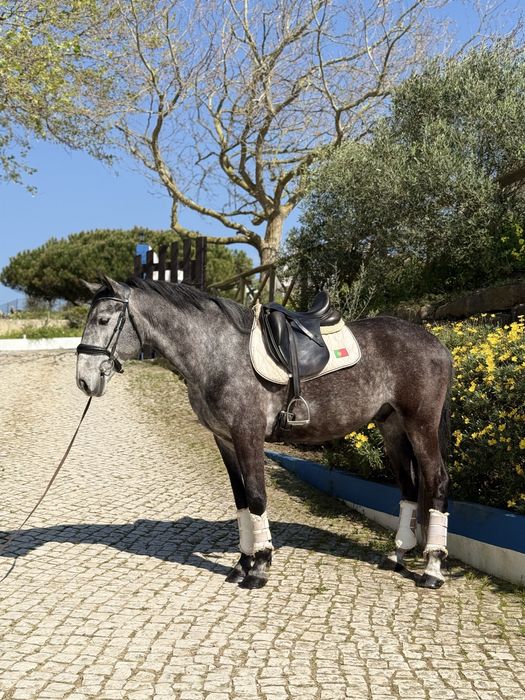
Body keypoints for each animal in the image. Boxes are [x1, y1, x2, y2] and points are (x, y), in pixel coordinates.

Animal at [76, 276, 453, 590]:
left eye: (103, 320)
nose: (84, 380)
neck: (218, 352)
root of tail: (437, 344)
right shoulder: (225, 440)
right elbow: (241, 501)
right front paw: (242, 563)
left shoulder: (248, 435)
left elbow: (257, 497)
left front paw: (260, 567)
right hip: (391, 426)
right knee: (408, 487)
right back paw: (398, 555)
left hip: (420, 424)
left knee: (436, 483)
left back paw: (432, 569)